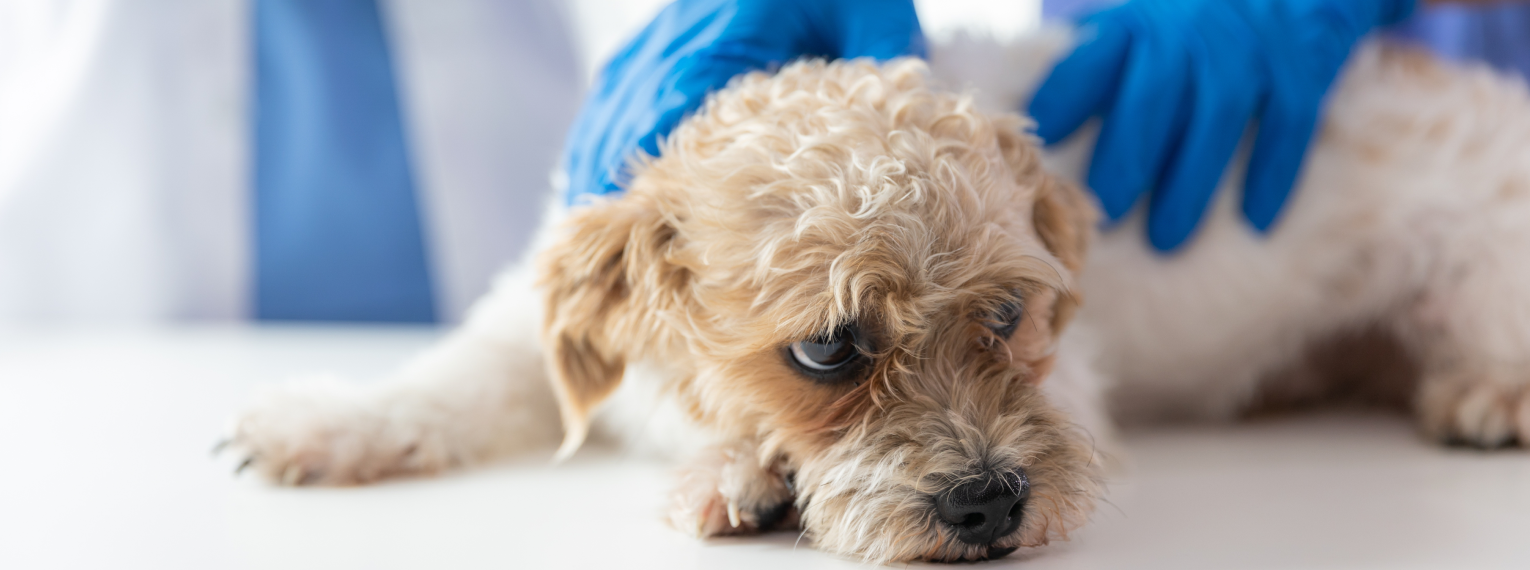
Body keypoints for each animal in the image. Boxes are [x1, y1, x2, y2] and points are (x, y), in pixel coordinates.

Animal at [223, 32, 1530, 565]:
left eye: (1005, 320)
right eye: (827, 353)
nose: (992, 505)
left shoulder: (1073, 393)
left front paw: (738, 475)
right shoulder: (525, 327)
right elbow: (442, 379)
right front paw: (319, 423)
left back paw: (1487, 393)